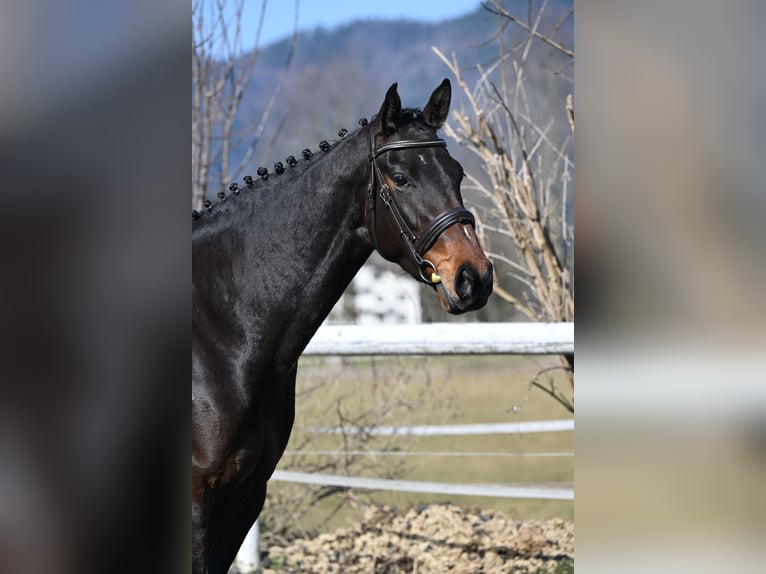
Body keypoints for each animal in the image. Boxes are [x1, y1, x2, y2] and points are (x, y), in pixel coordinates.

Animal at [192, 79, 493, 574]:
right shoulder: (198, 499)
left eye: (458, 174)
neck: (218, 335)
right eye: (401, 178)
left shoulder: (243, 499)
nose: (474, 278)